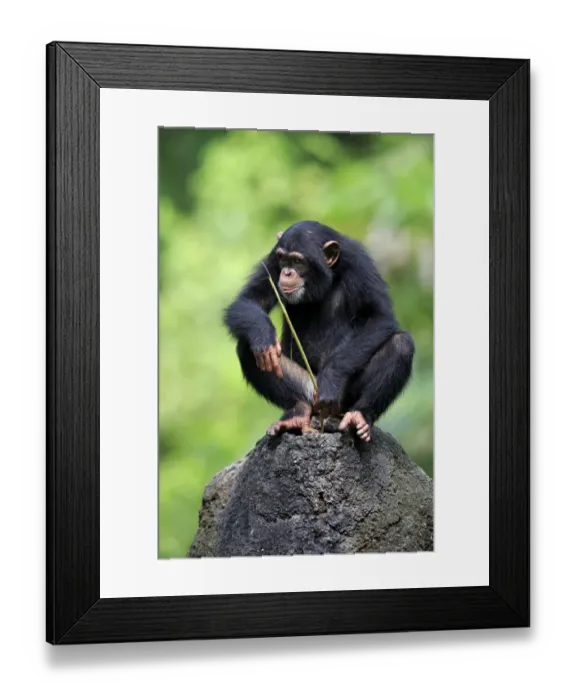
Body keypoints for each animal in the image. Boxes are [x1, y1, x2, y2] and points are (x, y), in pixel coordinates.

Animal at [223, 221, 415, 442]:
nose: (286, 272)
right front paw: (264, 337)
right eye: (283, 259)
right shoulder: (270, 262)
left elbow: (379, 316)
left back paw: (359, 415)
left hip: (342, 400)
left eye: (298, 261)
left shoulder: (361, 264)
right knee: (247, 347)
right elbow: (250, 300)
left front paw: (331, 379)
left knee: (401, 345)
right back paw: (297, 412)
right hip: (308, 389)